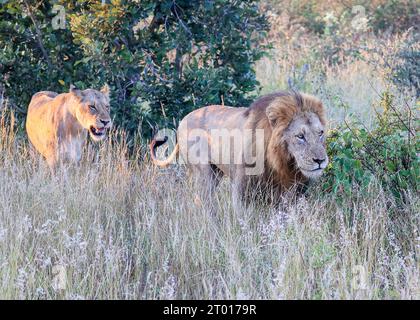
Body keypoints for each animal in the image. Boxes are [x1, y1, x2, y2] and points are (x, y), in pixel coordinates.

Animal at [149, 90, 330, 202]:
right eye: (300, 136)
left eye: (320, 133)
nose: (320, 161)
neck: (281, 163)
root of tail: (183, 120)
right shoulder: (242, 187)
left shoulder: (287, 190)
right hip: (204, 173)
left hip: (216, 172)